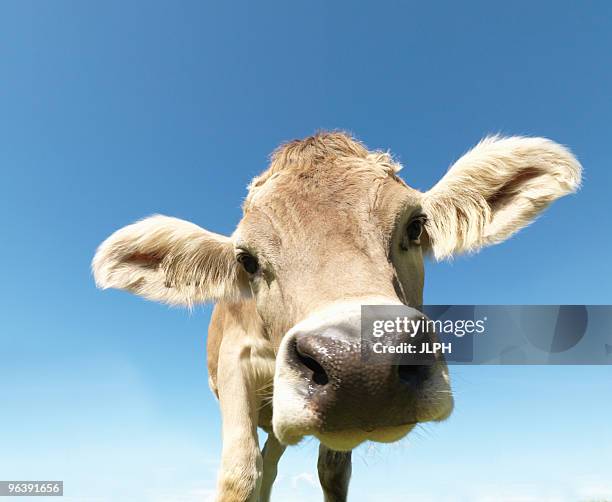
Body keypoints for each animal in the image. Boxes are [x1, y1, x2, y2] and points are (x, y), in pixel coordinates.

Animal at [93, 131, 580, 500]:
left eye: (415, 226)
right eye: (246, 260)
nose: (363, 365)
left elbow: (332, 474)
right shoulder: (234, 361)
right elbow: (239, 474)